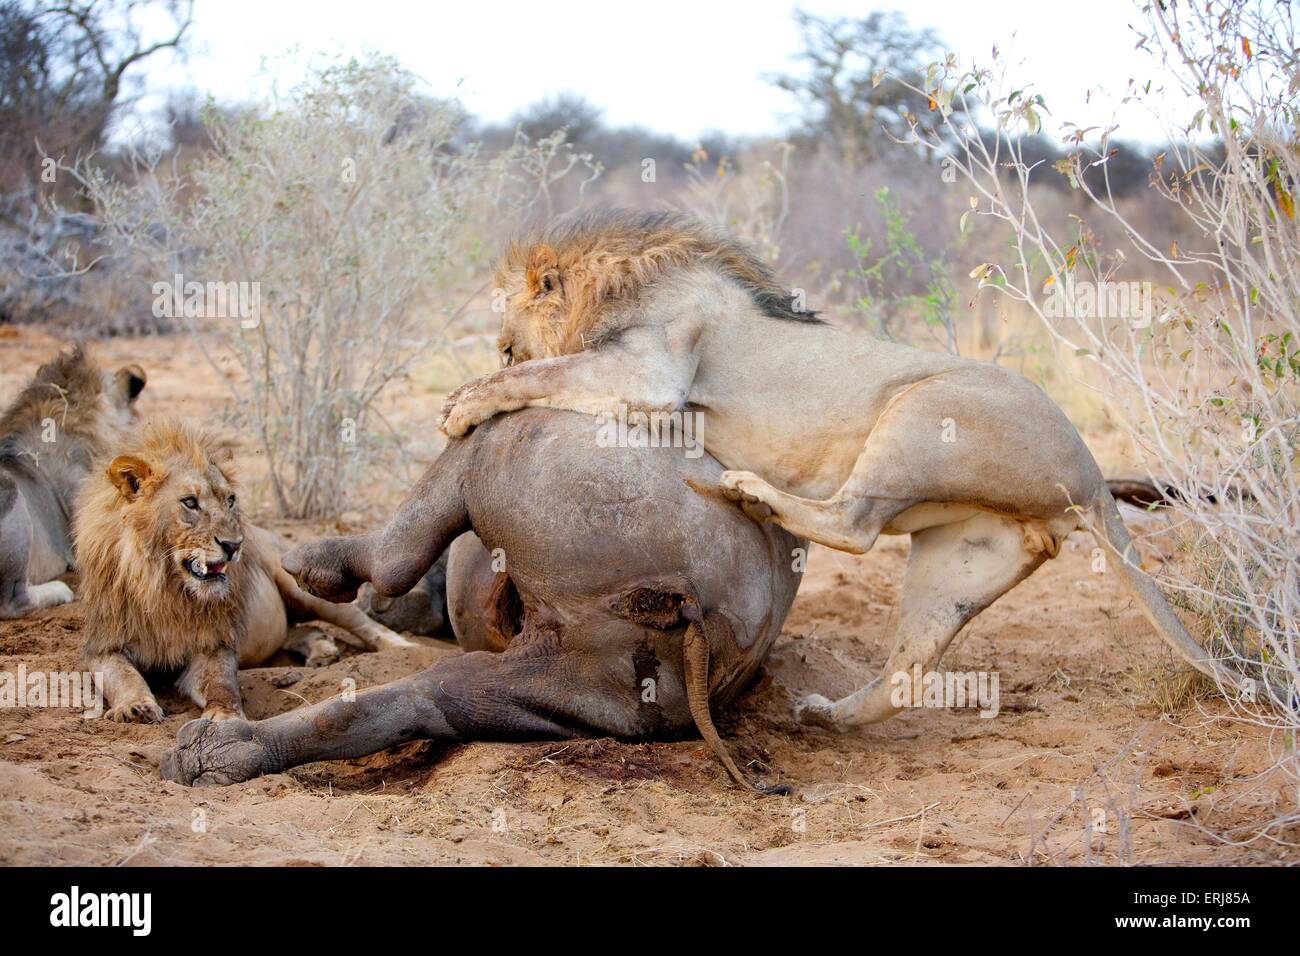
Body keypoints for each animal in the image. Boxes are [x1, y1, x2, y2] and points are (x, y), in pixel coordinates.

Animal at [74, 420, 412, 724]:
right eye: (190, 502)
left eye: (230, 500)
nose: (234, 545)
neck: (164, 588)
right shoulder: (103, 645)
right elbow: (122, 676)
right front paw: (135, 706)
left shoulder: (214, 645)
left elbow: (221, 685)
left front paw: (225, 718)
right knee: (296, 630)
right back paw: (322, 650)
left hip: (306, 587)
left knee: (364, 623)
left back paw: (404, 650)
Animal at [438, 208, 1239, 732]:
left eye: (505, 343)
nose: (497, 352)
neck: (622, 285)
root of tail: (1094, 474)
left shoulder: (650, 372)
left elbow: (546, 374)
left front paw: (460, 403)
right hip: (959, 556)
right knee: (906, 672)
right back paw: (827, 715)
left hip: (920, 411)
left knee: (853, 525)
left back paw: (748, 490)